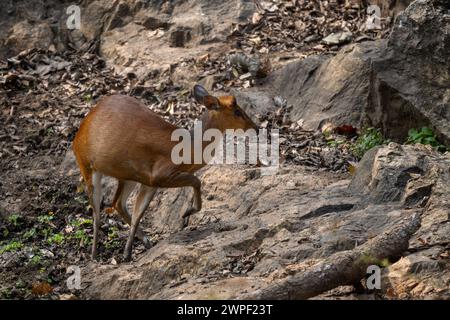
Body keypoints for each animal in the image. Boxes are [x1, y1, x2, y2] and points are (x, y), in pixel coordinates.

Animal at [72, 84, 258, 262]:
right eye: (237, 111)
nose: (255, 128)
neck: (187, 150)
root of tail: (78, 134)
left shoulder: (150, 182)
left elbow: (138, 214)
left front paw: (127, 253)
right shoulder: (161, 175)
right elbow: (196, 181)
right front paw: (187, 211)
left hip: (127, 176)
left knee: (117, 203)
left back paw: (144, 243)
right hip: (87, 166)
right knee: (97, 212)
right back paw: (94, 255)